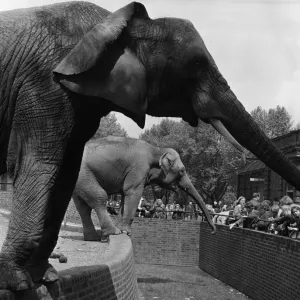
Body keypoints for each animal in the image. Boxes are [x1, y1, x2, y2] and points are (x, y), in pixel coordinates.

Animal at [72, 136, 216, 241]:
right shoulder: (139, 167)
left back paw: (93, 238)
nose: (213, 231)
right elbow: (132, 191)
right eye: (182, 171)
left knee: (83, 207)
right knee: (99, 197)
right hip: (83, 174)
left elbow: (125, 195)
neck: (157, 149)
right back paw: (113, 232)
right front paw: (126, 232)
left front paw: (123, 229)